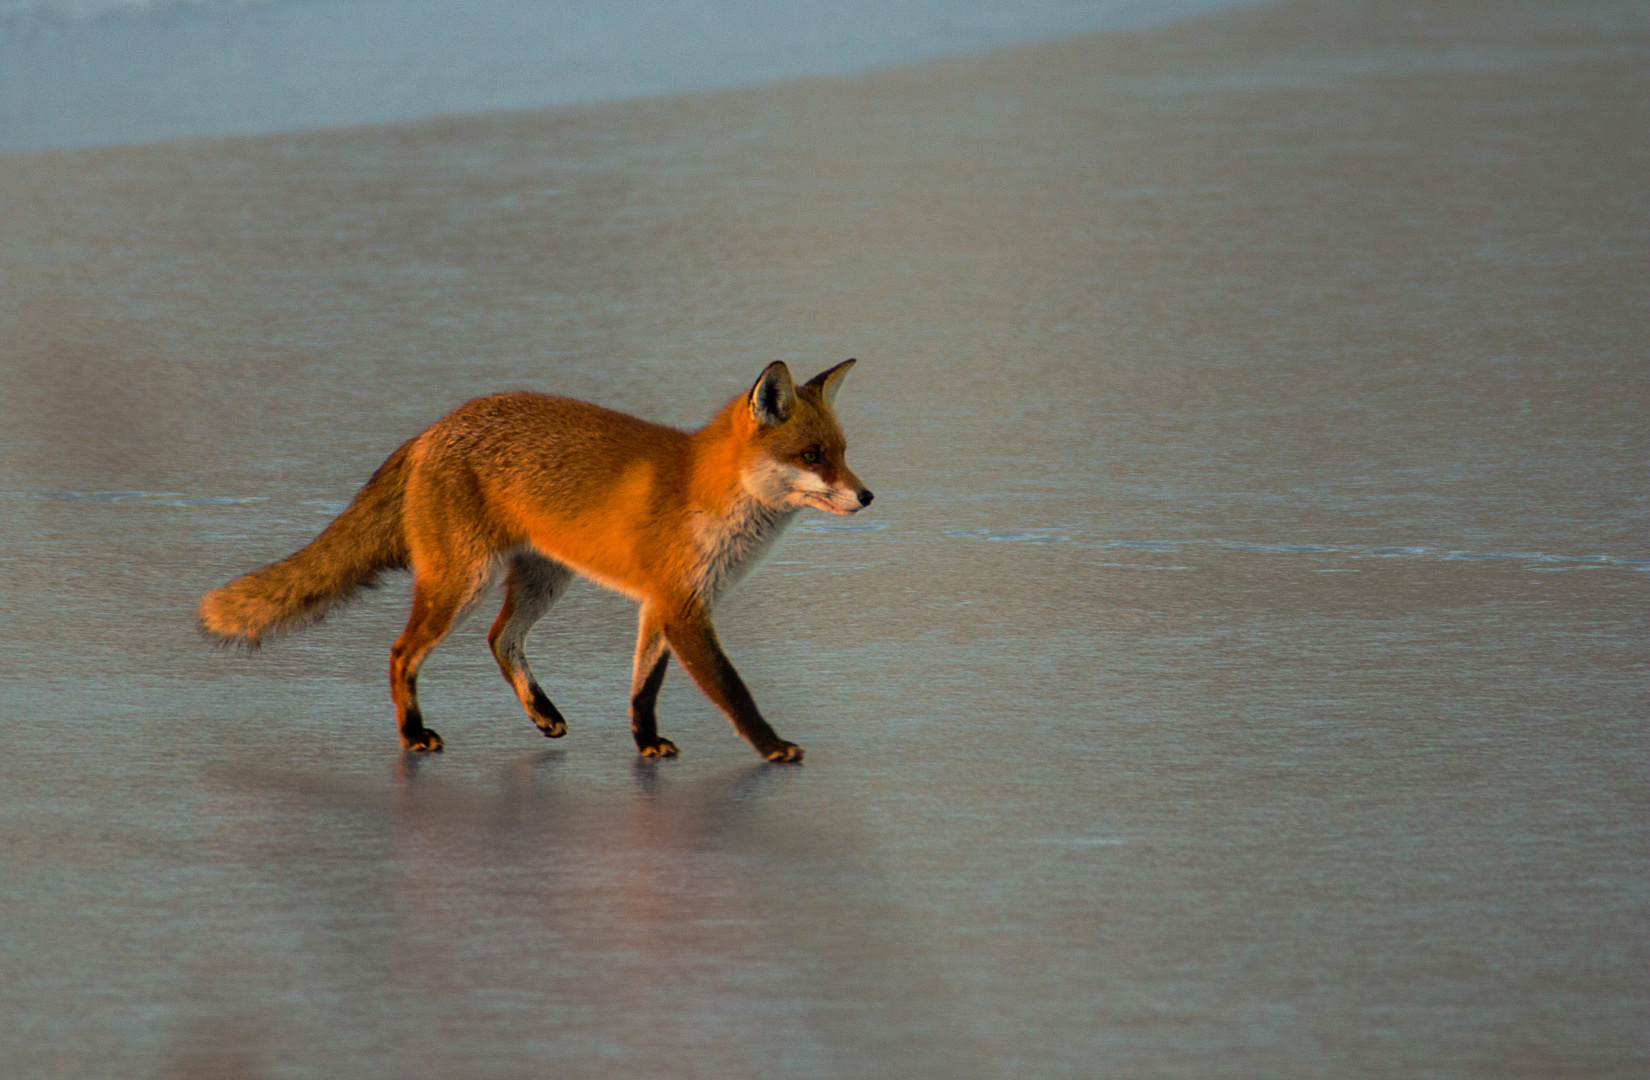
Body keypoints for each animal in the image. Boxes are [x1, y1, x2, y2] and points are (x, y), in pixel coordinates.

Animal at [198, 361, 871, 761]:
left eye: (842, 452)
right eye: (812, 456)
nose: (868, 496)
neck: (713, 499)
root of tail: (432, 430)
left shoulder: (661, 603)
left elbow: (642, 688)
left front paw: (645, 742)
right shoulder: (684, 610)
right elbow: (733, 690)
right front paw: (772, 745)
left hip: (545, 579)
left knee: (501, 639)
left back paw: (542, 714)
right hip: (462, 583)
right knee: (402, 651)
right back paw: (413, 734)